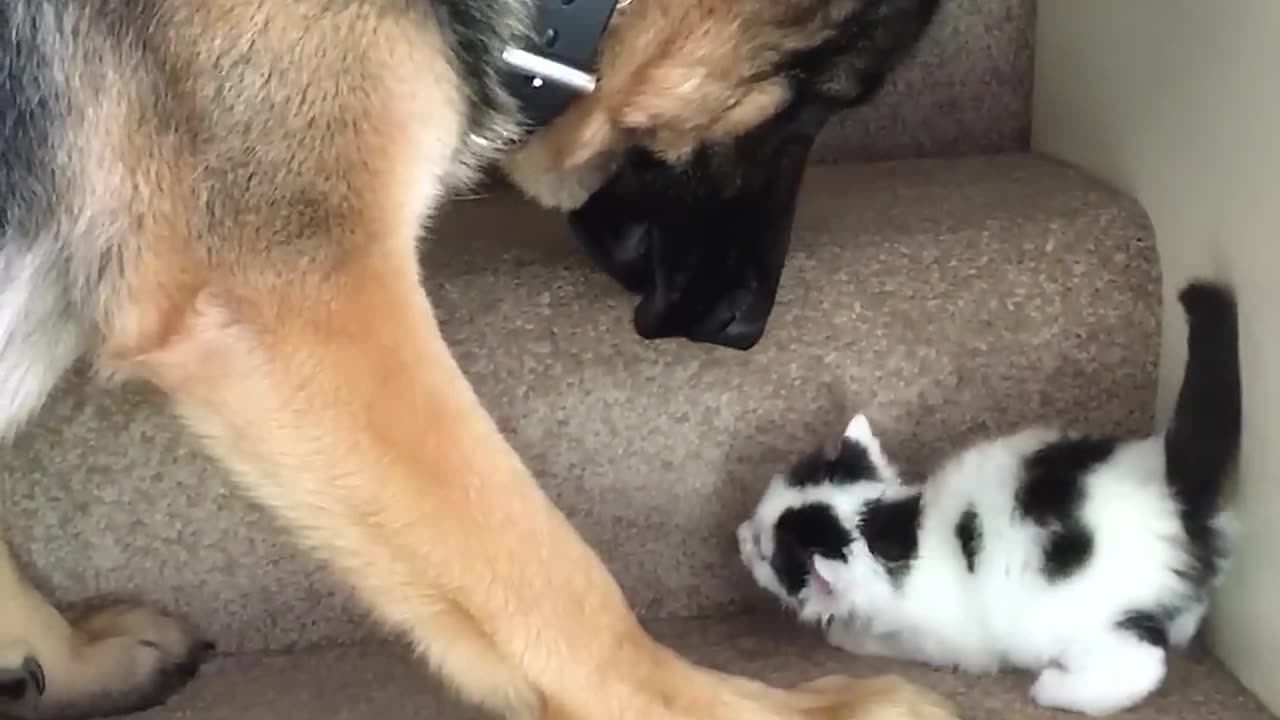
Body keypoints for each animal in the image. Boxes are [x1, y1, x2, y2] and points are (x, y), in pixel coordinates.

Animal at [737, 280, 1244, 712]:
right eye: (758, 513)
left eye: (765, 553)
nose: (738, 533)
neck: (897, 527)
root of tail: (1167, 485)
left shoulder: (948, 639)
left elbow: (897, 639)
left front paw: (847, 634)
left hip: (1084, 612)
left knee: (1142, 662)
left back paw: (1058, 688)